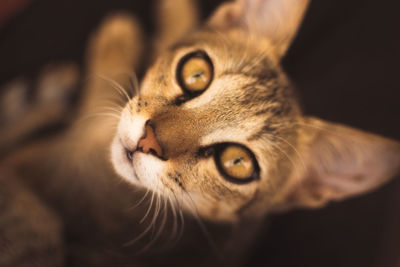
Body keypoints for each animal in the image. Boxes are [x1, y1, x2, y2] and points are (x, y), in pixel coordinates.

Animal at [0, 0, 400, 266]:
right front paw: (177, 12)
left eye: (236, 163)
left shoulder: (66, 153)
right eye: (196, 73)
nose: (148, 141)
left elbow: (97, 93)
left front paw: (116, 42)